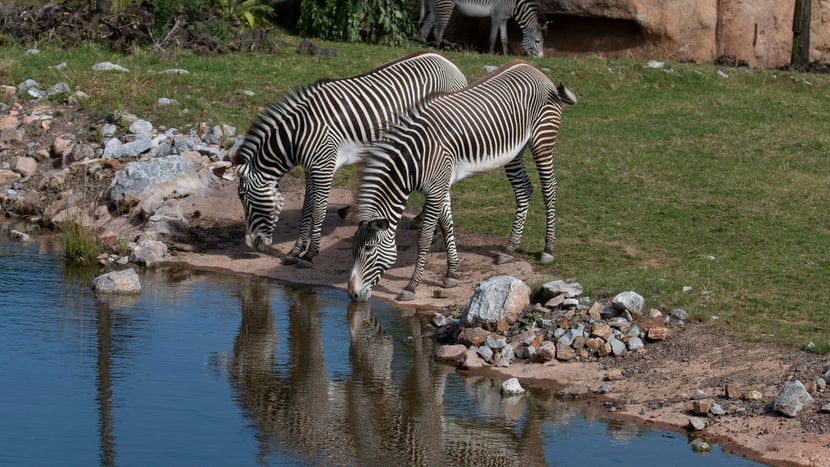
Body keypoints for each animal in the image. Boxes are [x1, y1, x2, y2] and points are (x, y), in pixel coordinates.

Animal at [232, 51, 468, 268]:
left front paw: (310, 254)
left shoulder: (324, 167)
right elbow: (306, 208)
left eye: (243, 197)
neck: (297, 133)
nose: (251, 244)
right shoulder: (310, 168)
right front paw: (295, 251)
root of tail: (450, 63)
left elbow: (318, 210)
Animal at [348, 61, 576, 302]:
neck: (414, 159)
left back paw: (548, 249)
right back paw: (508, 249)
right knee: (524, 189)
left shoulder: (435, 190)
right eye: (352, 248)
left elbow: (424, 238)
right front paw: (451, 274)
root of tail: (534, 69)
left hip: (542, 141)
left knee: (549, 189)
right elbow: (447, 226)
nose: (353, 294)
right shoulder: (440, 186)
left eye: (369, 249)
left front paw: (411, 286)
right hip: (515, 151)